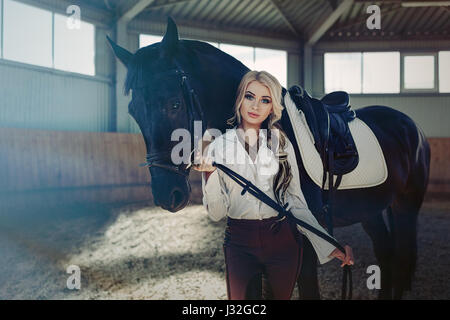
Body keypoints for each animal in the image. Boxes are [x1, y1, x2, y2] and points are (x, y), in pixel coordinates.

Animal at [107, 16, 430, 298]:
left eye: (174, 104)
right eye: (133, 111)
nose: (167, 194)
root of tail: (411, 127)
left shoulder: (306, 236)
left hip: (406, 205)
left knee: (401, 257)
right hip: (372, 210)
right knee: (386, 255)